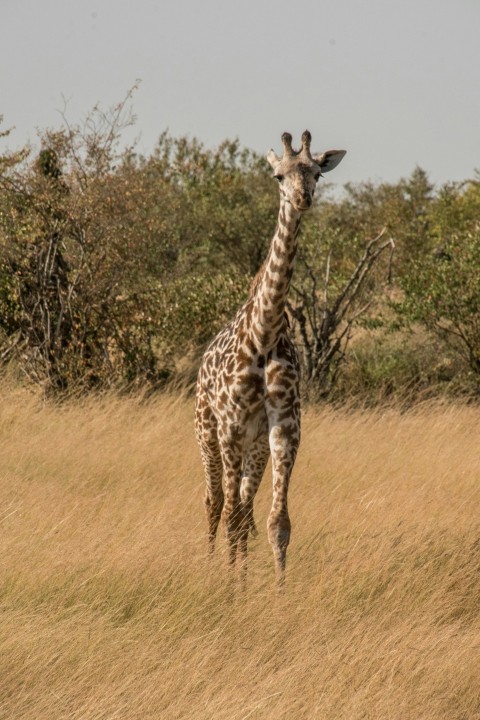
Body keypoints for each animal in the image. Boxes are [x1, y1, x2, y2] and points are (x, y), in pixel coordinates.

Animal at [194, 131, 344, 584]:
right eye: (279, 175)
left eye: (315, 173)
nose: (302, 198)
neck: (264, 334)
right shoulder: (230, 427)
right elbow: (228, 513)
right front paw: (228, 588)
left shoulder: (284, 427)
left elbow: (277, 521)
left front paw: (274, 591)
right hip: (206, 432)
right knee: (215, 502)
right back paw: (212, 566)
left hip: (255, 446)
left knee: (243, 508)